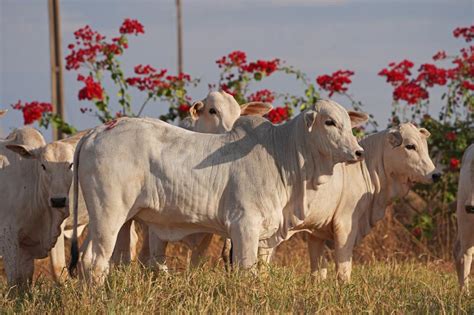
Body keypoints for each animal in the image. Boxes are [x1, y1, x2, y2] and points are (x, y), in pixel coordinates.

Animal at [0, 127, 76, 288]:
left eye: (71, 165)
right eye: (43, 166)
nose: (58, 201)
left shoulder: (26, 246)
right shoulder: (7, 235)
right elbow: (14, 281)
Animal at [69, 99, 366, 284]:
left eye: (348, 123)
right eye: (329, 122)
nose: (358, 152)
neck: (282, 154)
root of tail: (96, 132)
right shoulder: (244, 225)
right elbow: (246, 271)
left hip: (113, 219)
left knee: (98, 260)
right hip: (108, 215)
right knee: (95, 262)